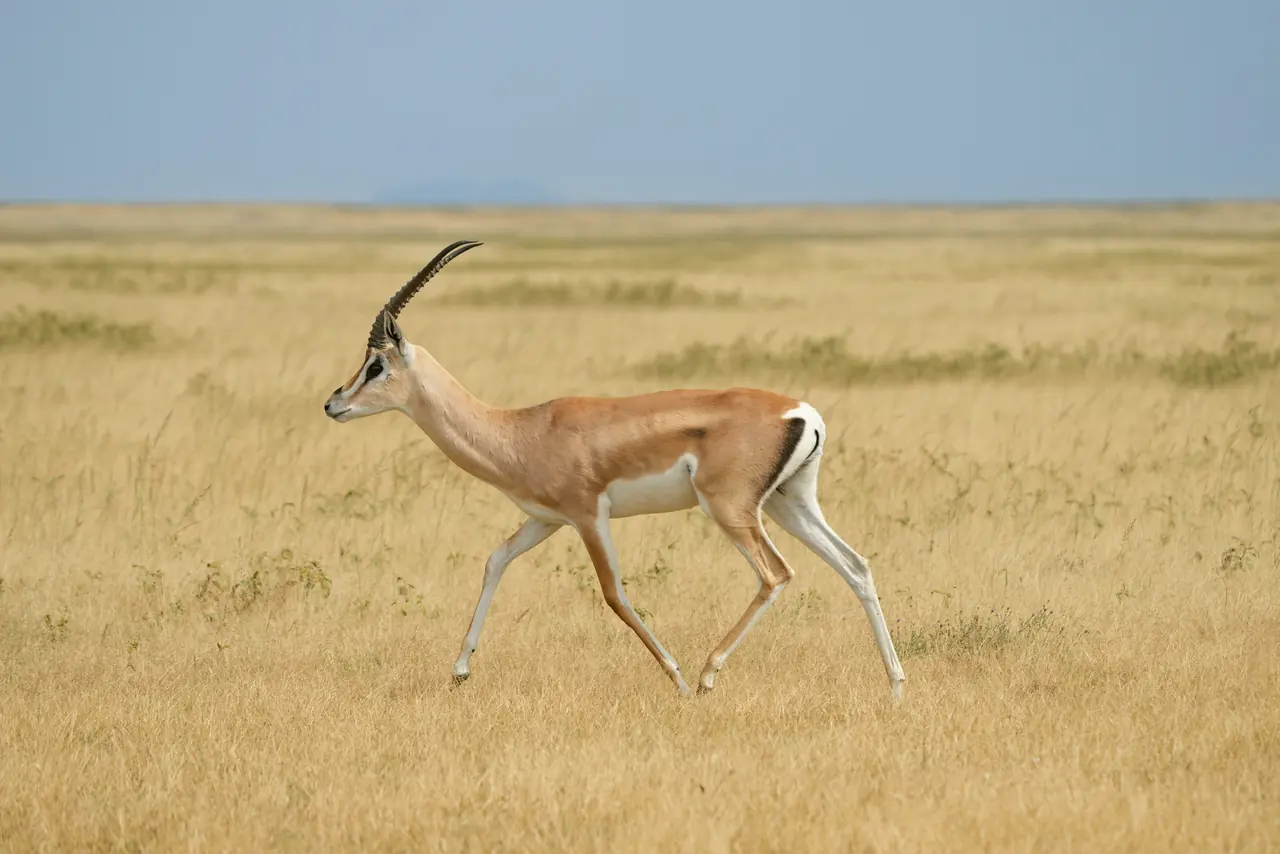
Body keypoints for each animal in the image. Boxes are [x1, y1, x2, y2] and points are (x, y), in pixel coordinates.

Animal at [324, 240, 906, 699]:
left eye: (376, 364)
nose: (333, 404)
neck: (521, 430)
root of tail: (800, 412)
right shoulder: (545, 519)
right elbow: (495, 561)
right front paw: (460, 670)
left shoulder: (587, 517)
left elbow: (613, 594)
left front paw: (675, 678)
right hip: (791, 504)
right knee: (855, 565)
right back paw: (896, 685)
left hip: (731, 510)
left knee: (776, 573)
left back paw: (706, 675)